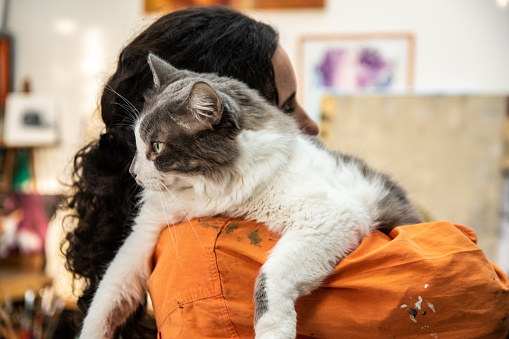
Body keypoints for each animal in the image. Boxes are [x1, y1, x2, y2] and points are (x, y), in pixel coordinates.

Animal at [79, 53, 420, 339]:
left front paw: (274, 330)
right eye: (137, 142)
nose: (133, 173)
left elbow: (270, 277)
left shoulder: (330, 218)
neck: (211, 191)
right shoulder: (146, 231)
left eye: (157, 147)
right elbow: (109, 293)